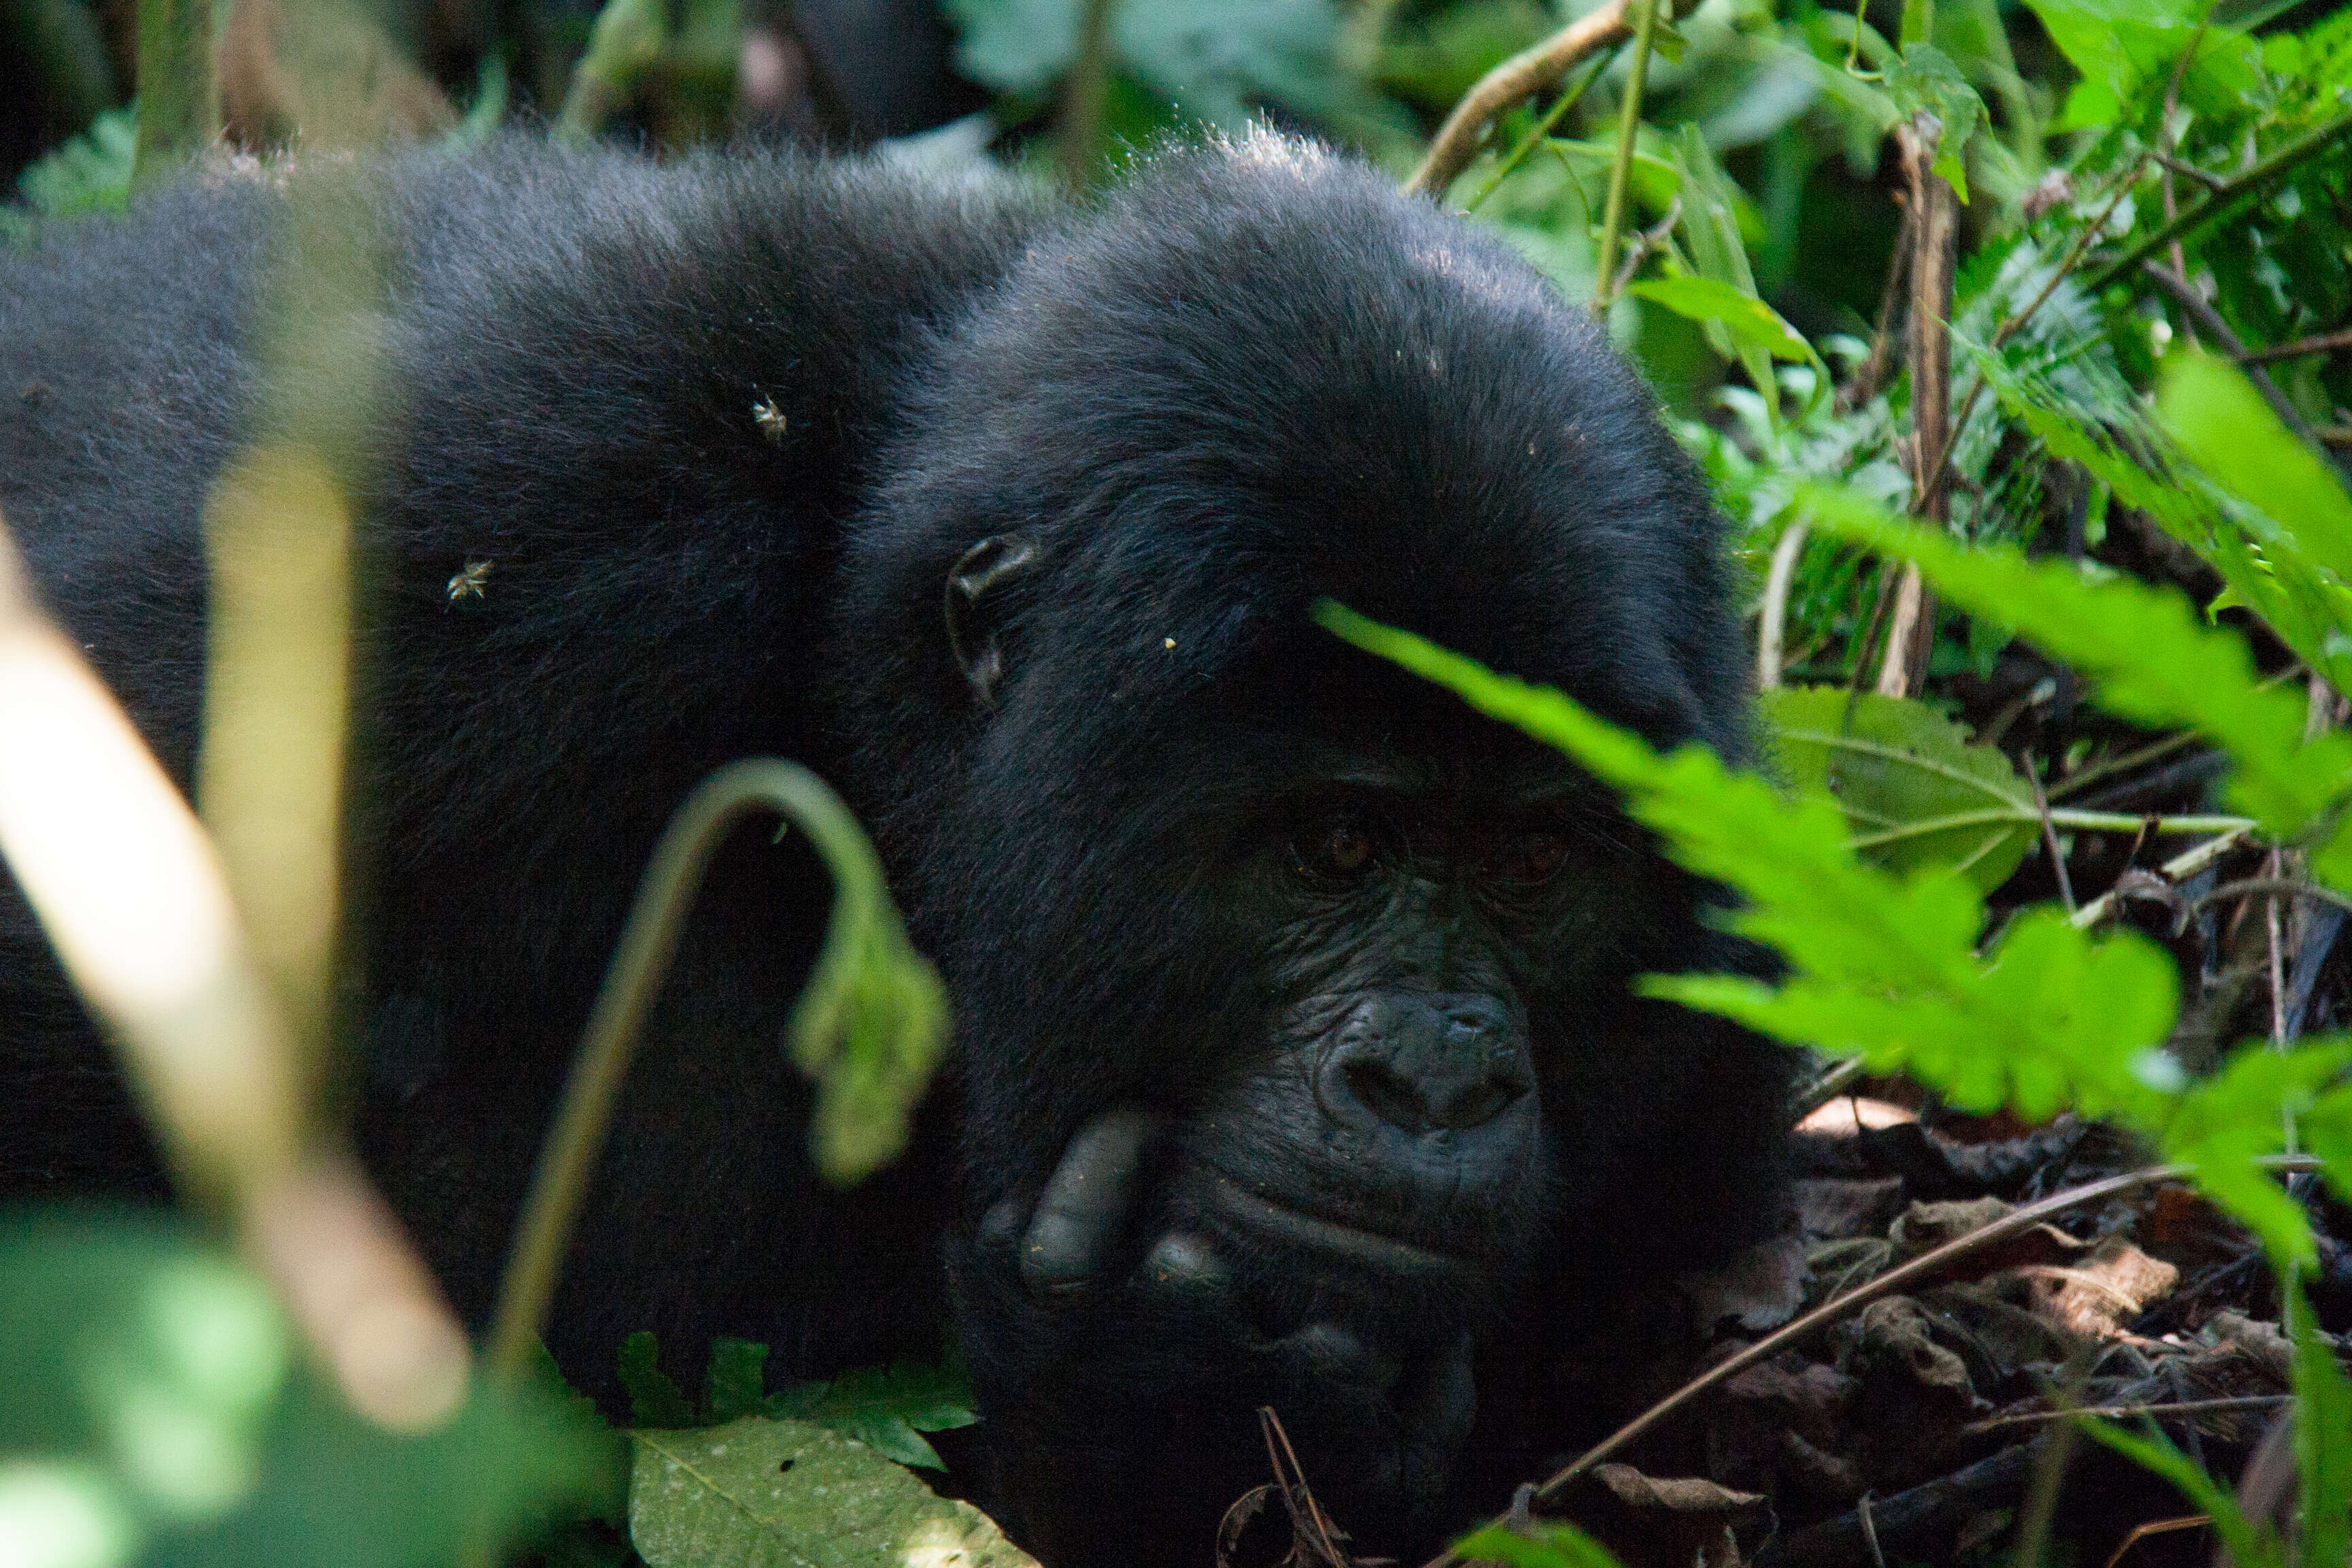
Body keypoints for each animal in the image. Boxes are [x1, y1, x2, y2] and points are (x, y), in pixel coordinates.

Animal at [0, 135, 1787, 1568]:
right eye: (1339, 843)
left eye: (1533, 868)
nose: (1434, 1079)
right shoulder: (486, 530)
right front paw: (1165, 1385)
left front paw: (1158, 1409)